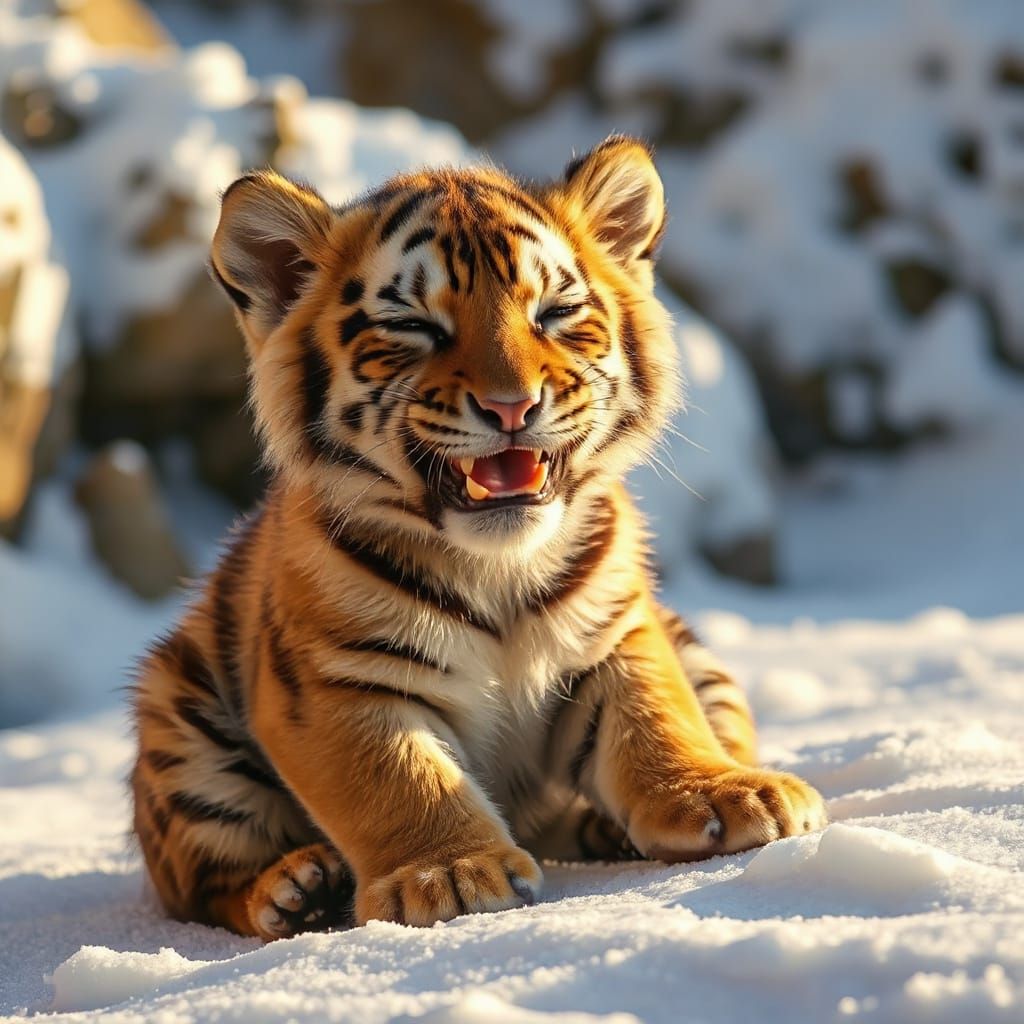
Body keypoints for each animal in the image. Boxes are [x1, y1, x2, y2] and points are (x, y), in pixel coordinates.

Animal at [130, 136, 827, 940]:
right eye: (414, 327)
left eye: (556, 313)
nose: (512, 406)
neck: (498, 567)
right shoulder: (337, 679)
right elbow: (400, 776)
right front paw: (451, 874)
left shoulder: (618, 635)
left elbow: (657, 718)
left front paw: (724, 795)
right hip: (179, 718)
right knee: (203, 885)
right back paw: (298, 888)